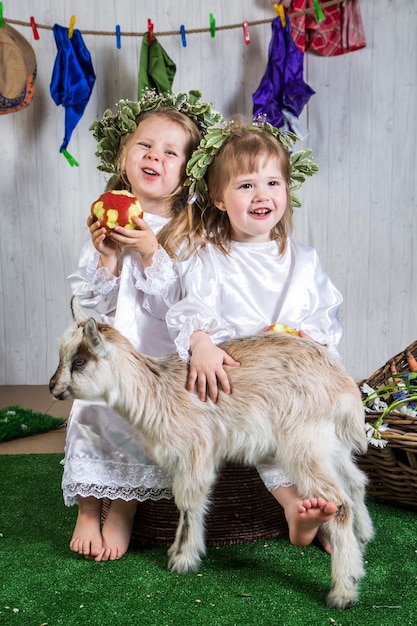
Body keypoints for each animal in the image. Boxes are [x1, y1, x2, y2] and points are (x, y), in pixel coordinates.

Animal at [50, 298, 372, 604]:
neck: (157, 390)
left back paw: (342, 592)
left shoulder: (195, 450)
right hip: (330, 445)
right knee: (356, 482)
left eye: (79, 361)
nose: (53, 387)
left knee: (339, 503)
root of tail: (344, 387)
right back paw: (362, 541)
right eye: (61, 356)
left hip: (303, 441)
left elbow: (189, 501)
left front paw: (181, 559)